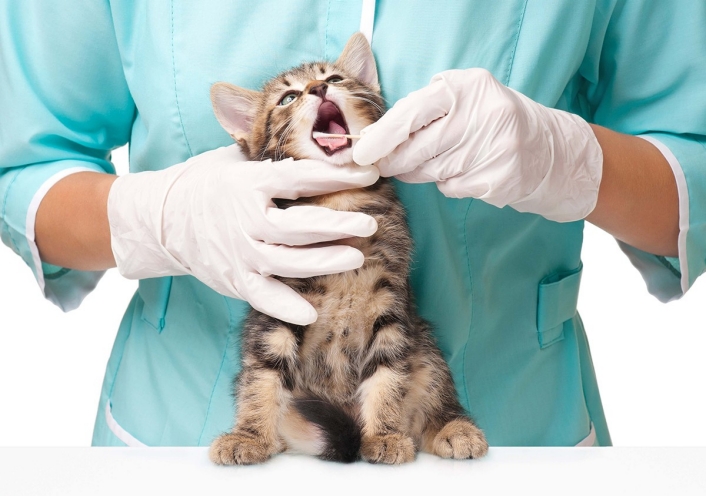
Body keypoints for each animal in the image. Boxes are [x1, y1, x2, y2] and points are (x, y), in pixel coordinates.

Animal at [206, 33, 486, 464]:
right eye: (287, 98)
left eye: (334, 78)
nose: (318, 89)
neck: (339, 202)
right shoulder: (278, 306)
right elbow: (262, 376)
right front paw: (250, 435)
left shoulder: (390, 301)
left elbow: (388, 374)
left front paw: (384, 434)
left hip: (424, 345)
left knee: (433, 387)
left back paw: (452, 428)